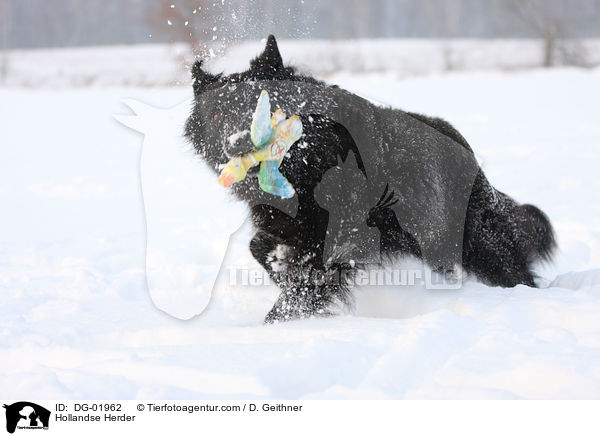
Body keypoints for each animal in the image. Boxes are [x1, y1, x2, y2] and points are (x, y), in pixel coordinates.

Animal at [185, 35, 556, 322]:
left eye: (260, 101)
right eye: (216, 115)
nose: (236, 142)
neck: (309, 162)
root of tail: (471, 156)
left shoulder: (336, 238)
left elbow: (301, 288)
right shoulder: (290, 228)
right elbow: (260, 247)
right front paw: (279, 268)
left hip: (475, 242)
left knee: (513, 271)